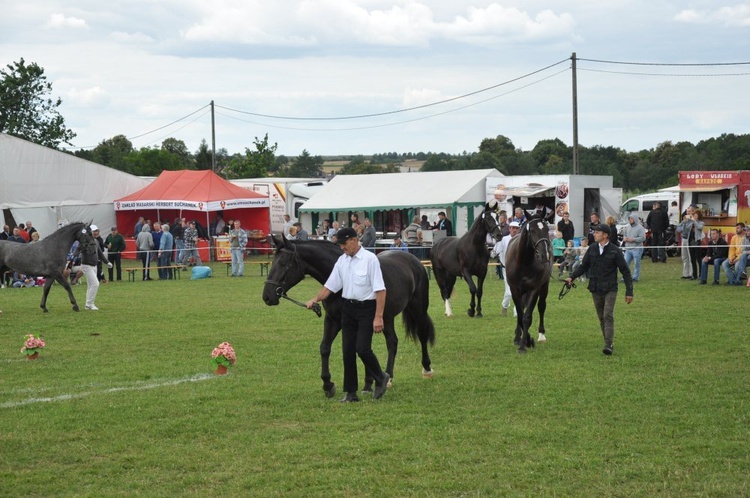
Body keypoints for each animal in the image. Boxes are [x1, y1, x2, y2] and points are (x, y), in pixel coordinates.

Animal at [506, 214, 552, 354]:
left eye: (547, 229)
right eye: (532, 230)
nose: (544, 255)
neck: (524, 262)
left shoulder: (534, 289)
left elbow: (527, 317)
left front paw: (525, 344)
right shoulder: (514, 289)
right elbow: (520, 315)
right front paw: (524, 340)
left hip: (544, 286)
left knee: (541, 306)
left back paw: (541, 335)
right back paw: (517, 337)